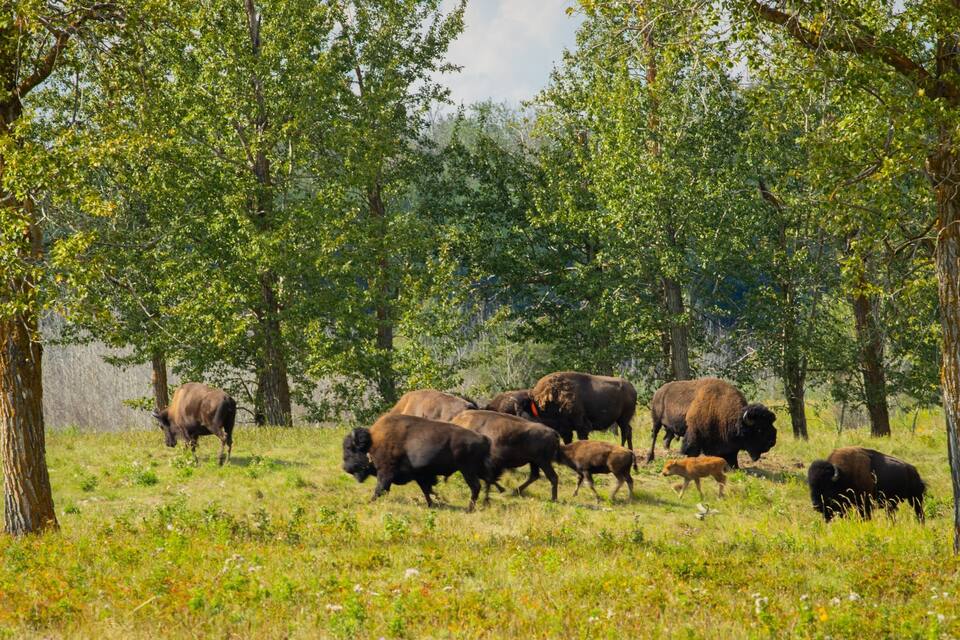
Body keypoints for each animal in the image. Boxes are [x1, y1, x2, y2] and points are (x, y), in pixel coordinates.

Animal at [341, 413, 492, 511]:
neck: (372, 443)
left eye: (350, 449)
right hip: (477, 470)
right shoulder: (420, 475)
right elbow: (426, 490)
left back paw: (469, 509)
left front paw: (368, 502)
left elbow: (380, 489)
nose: (345, 468)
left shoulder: (385, 472)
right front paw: (434, 504)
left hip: (467, 470)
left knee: (476, 486)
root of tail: (483, 438)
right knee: (487, 482)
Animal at [647, 378, 776, 468]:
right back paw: (649, 458)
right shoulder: (694, 433)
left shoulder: (729, 445)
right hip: (656, 421)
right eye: (759, 429)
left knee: (666, 439)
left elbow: (732, 458)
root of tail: (658, 391)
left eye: (771, 424)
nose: (772, 442)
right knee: (654, 436)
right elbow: (691, 450)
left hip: (669, 428)